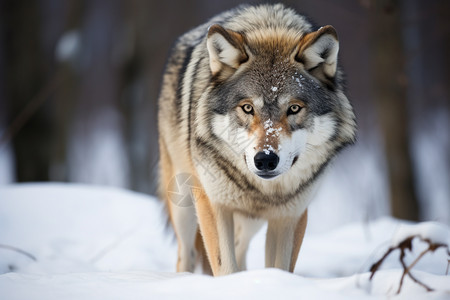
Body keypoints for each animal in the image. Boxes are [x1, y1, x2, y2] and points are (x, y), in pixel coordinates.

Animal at [157, 4, 356, 276]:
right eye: (248, 108)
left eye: (294, 108)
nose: (265, 160)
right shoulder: (214, 204)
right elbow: (225, 267)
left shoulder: (290, 216)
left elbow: (280, 269)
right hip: (184, 205)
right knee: (185, 255)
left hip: (249, 223)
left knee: (240, 248)